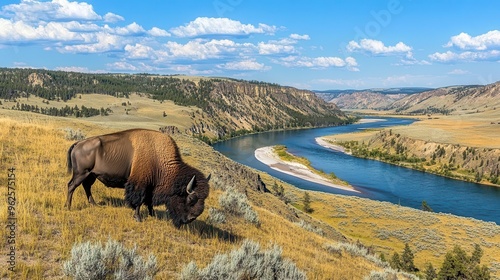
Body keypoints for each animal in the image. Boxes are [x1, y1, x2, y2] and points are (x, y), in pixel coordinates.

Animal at [65, 129, 209, 228]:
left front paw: (152, 214)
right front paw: (138, 218)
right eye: (190, 199)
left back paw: (94, 204)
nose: (191, 218)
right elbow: (138, 201)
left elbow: (149, 202)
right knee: (71, 186)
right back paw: (68, 206)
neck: (159, 160)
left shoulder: (151, 187)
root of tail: (78, 143)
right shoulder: (140, 185)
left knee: (86, 186)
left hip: (91, 175)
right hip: (81, 173)